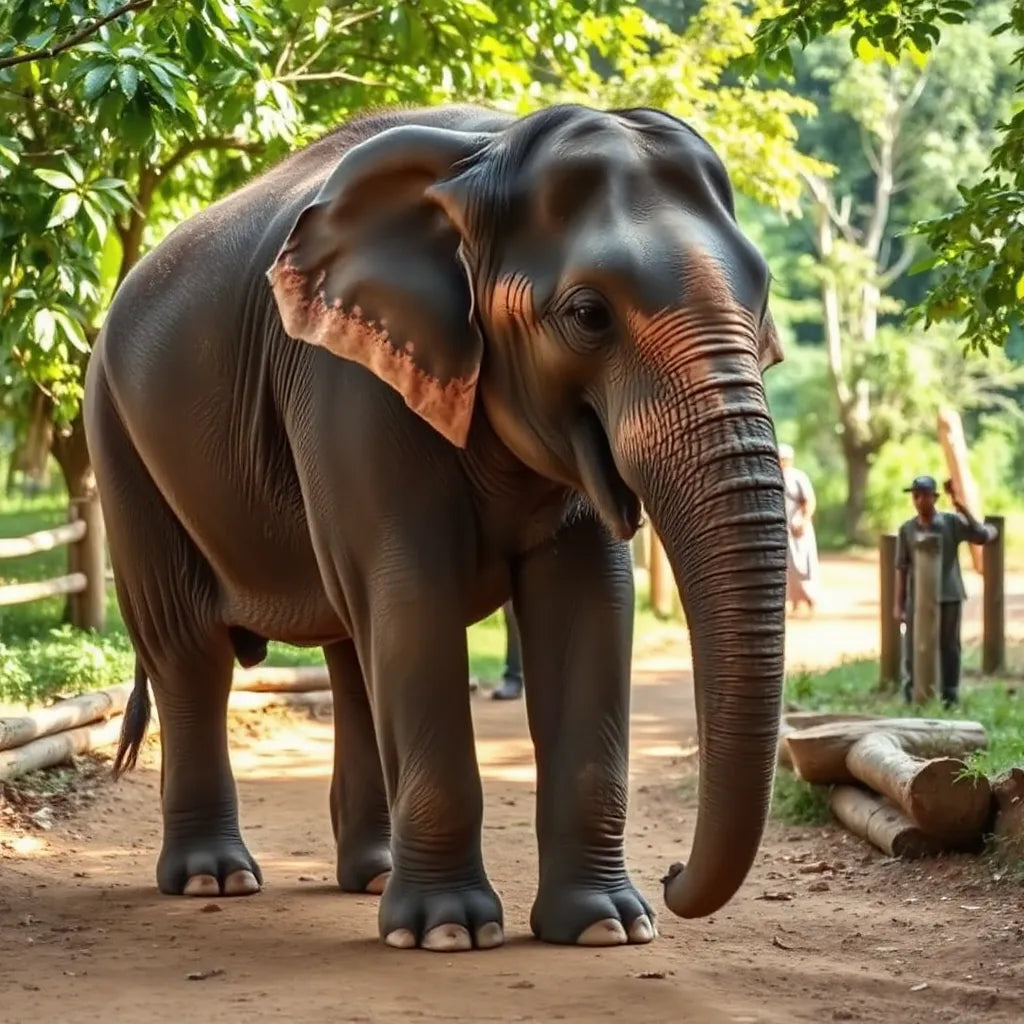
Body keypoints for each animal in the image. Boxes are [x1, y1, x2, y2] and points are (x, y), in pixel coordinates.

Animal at [83, 101, 788, 953]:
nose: (674, 876)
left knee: (349, 647)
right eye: (588, 315)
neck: (491, 154)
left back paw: (373, 873)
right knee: (190, 650)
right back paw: (214, 880)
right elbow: (413, 590)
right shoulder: (348, 381)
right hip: (120, 442)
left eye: (761, 299)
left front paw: (606, 927)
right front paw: (447, 933)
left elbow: (591, 598)